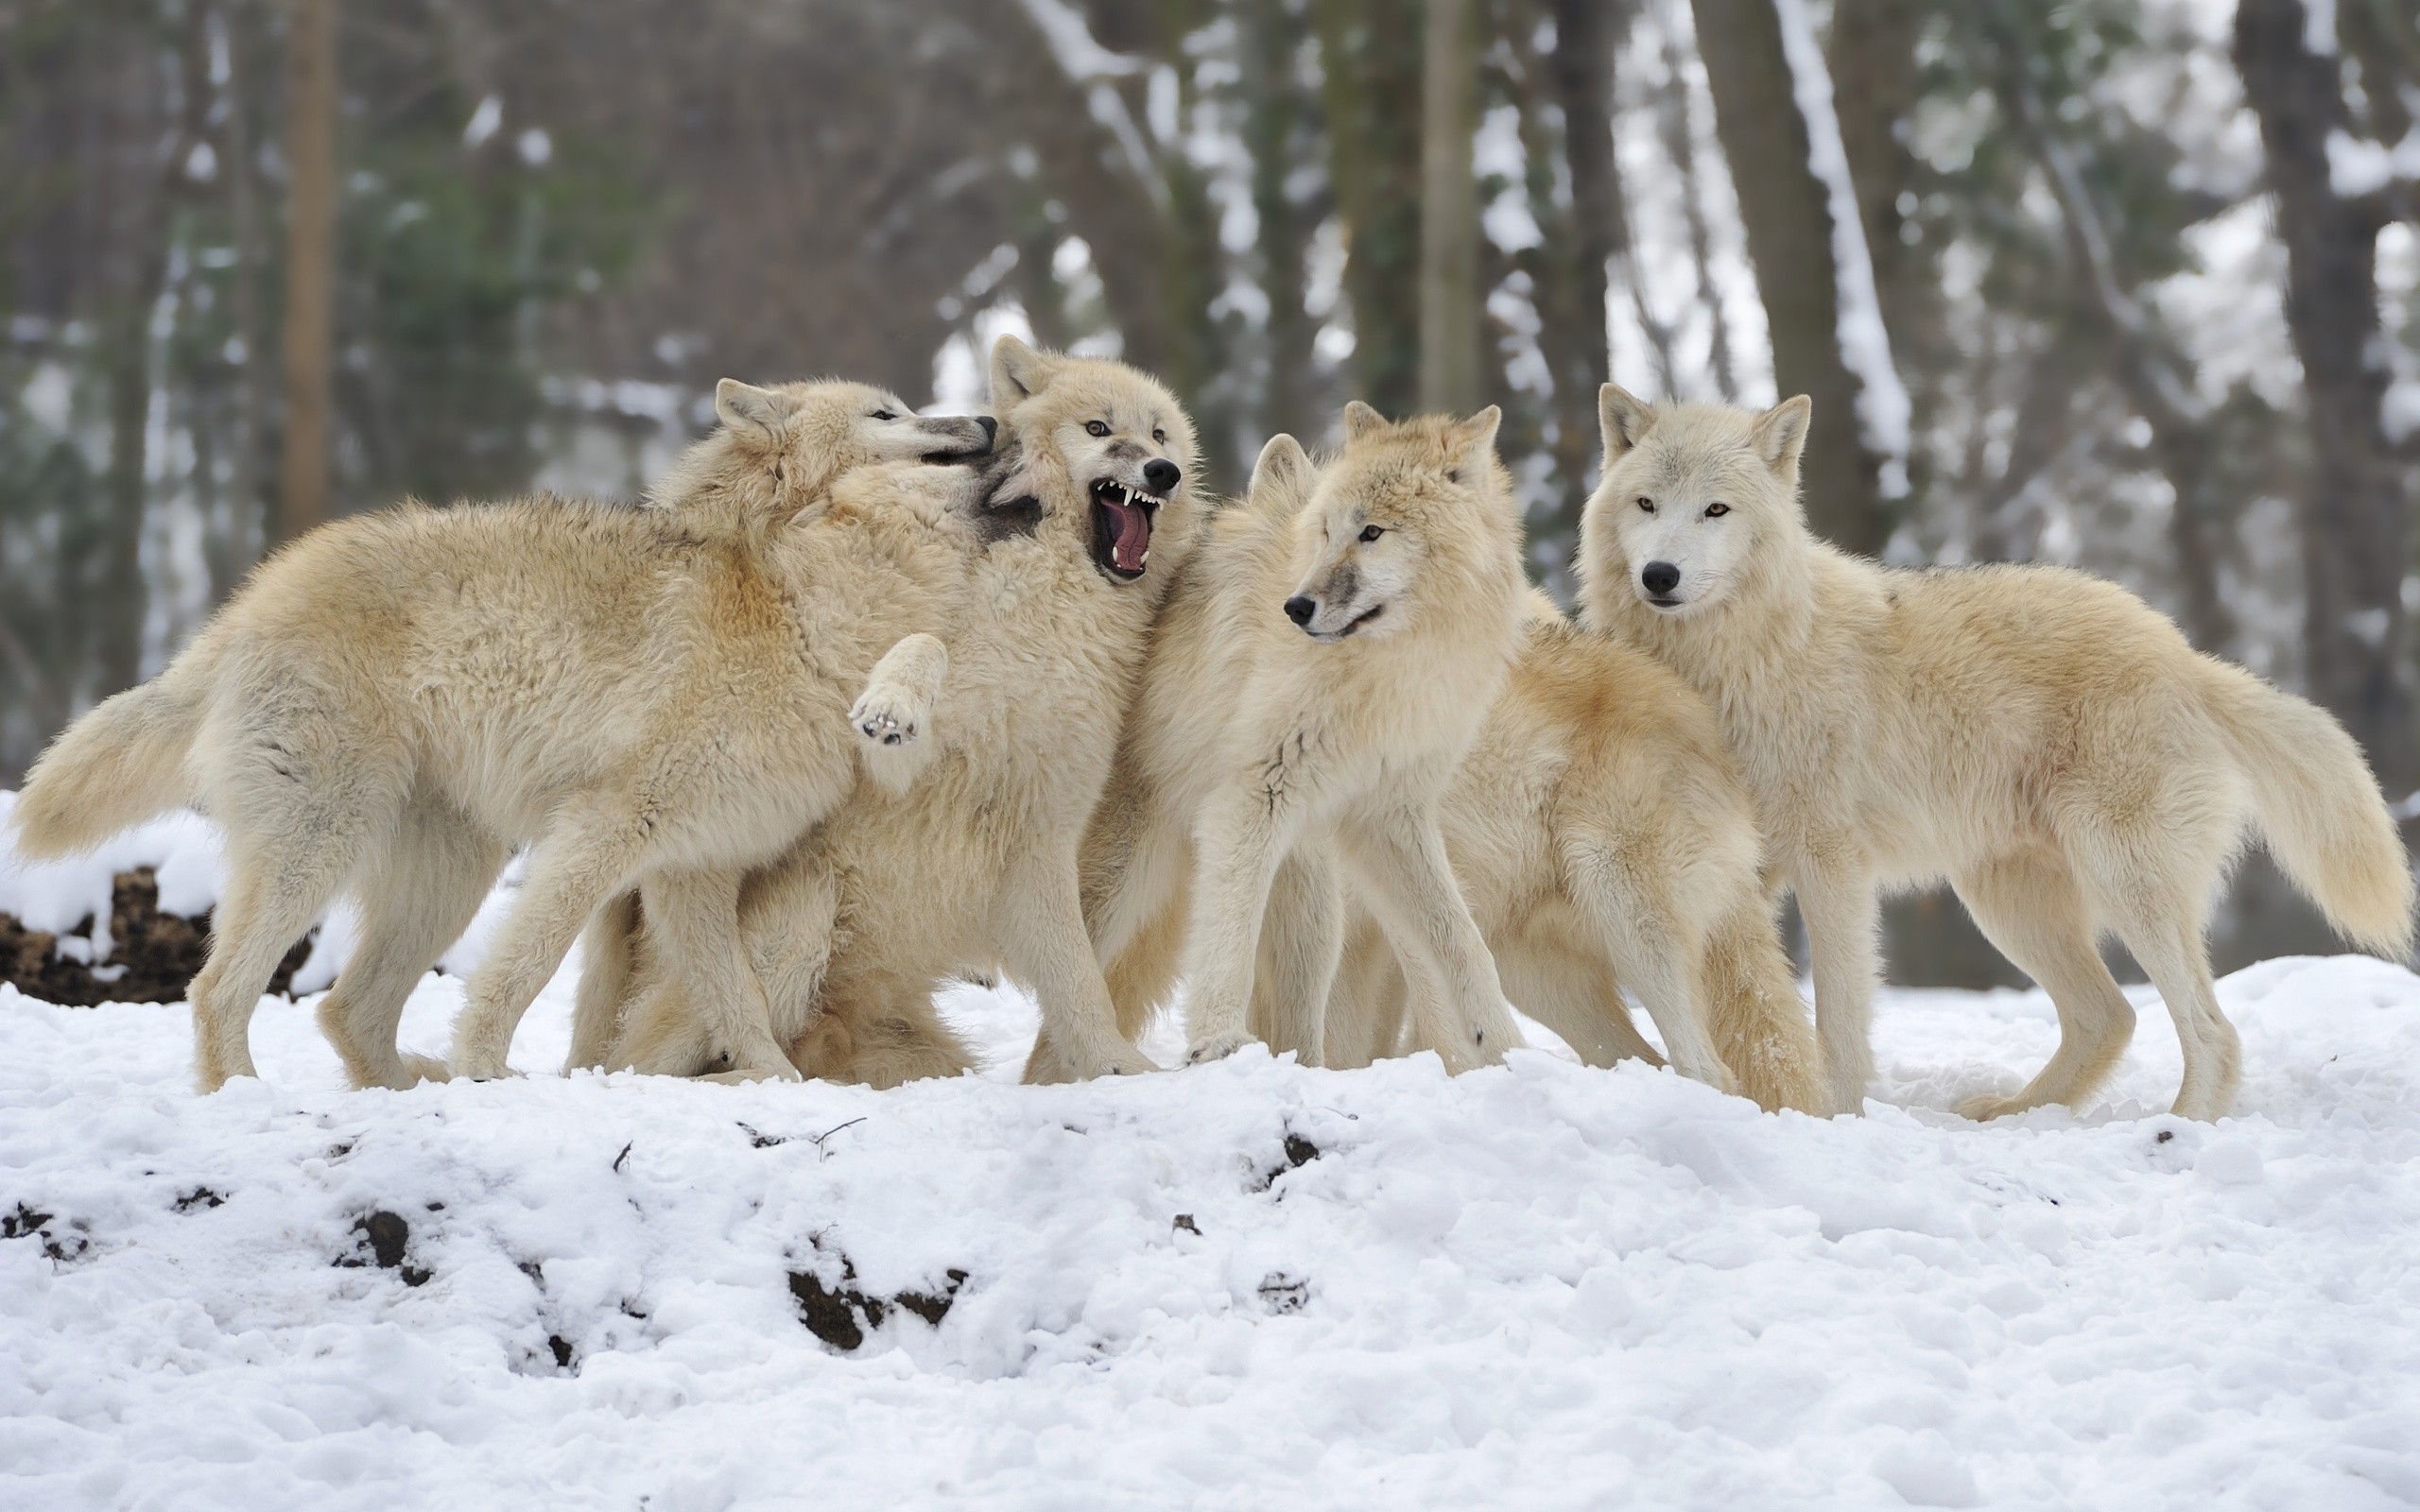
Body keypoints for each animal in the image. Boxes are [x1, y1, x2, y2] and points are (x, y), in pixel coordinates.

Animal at [7, 374, 992, 1083]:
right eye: (889, 413)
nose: (986, 419)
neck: (789, 612)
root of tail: (245, 605)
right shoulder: (604, 832)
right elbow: (527, 970)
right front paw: (489, 1068)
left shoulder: (692, 870)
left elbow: (737, 1002)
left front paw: (777, 1087)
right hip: (323, 845)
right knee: (218, 991)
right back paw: (254, 1102)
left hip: (448, 874)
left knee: (346, 1010)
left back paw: (410, 1090)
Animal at [568, 335, 1210, 1078]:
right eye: (1099, 429)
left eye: (1160, 434)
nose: (1163, 471)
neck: (1051, 602)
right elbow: (924, 647)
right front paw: (891, 706)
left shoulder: (1042, 830)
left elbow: (1081, 987)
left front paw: (1119, 1072)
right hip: (802, 912)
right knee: (655, 1057)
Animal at [1578, 387, 2410, 1122]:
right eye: (1647, 505)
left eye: (1715, 511)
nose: (1660, 576)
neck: (1736, 662)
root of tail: (2186, 656)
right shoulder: (1735, 870)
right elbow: (1744, 1009)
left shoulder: (1830, 864)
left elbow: (1837, 1021)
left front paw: (1835, 1118)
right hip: (2007, 904)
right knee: (2110, 1016)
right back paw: (2016, 1115)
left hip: (2120, 882)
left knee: (2211, 1030)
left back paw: (2180, 1130)